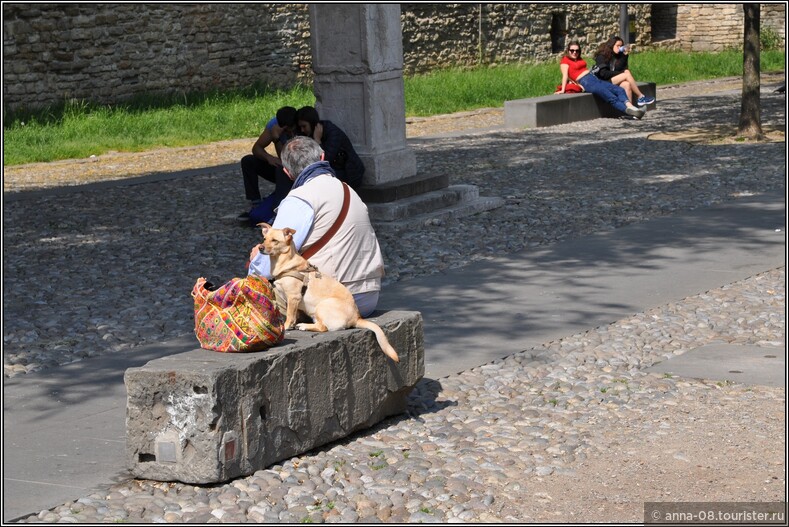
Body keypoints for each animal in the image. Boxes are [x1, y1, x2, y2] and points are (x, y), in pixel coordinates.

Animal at [258, 223, 400, 364]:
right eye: (264, 239)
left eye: (275, 240)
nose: (260, 247)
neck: (285, 263)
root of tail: (357, 317)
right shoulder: (292, 301)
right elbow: (294, 314)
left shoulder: (293, 297)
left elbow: (290, 315)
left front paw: (287, 326)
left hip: (322, 305)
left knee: (323, 328)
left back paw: (304, 326)